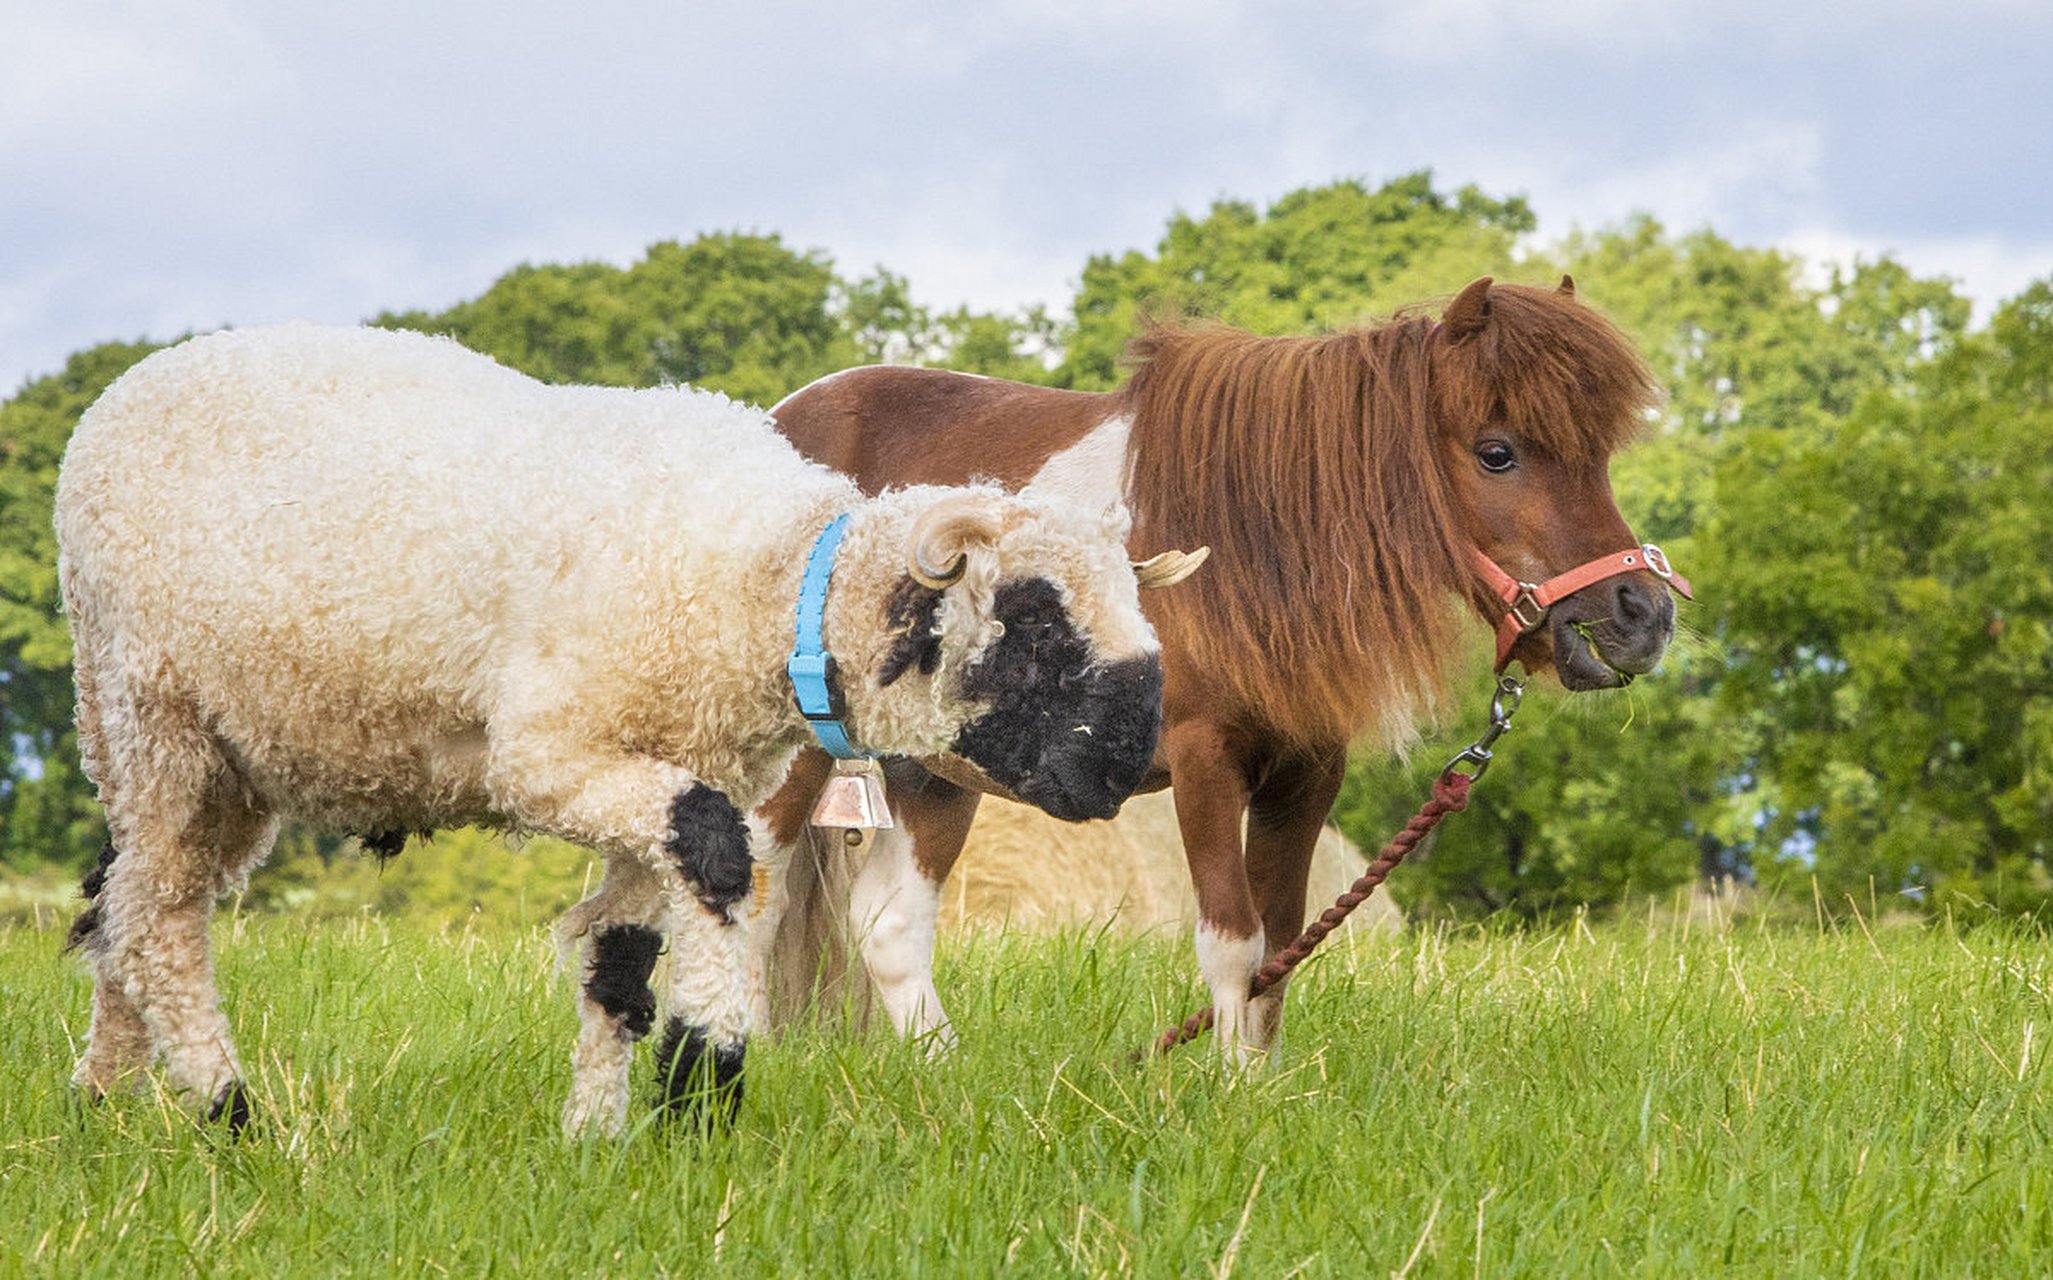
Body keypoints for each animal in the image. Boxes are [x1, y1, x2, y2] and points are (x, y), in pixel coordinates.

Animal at [750, 275, 1682, 1061]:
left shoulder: (1304, 770)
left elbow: (1281, 943)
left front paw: (1265, 1091)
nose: (1642, 615)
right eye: (1496, 453)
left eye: (1599, 455)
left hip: (931, 768)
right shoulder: (1204, 758)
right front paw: (1232, 1101)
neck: (1246, 542)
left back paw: (945, 1075)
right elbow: (1232, 943)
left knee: (889, 925)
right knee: (756, 895)